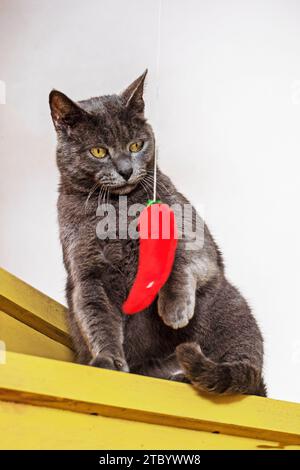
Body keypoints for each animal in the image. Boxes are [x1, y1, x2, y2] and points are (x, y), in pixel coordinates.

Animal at [49, 70, 268, 396]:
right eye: (99, 151)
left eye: (136, 145)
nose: (126, 170)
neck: (119, 212)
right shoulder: (86, 273)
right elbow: (96, 317)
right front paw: (107, 361)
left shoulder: (193, 235)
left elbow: (180, 259)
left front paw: (174, 310)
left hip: (227, 307)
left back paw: (188, 375)